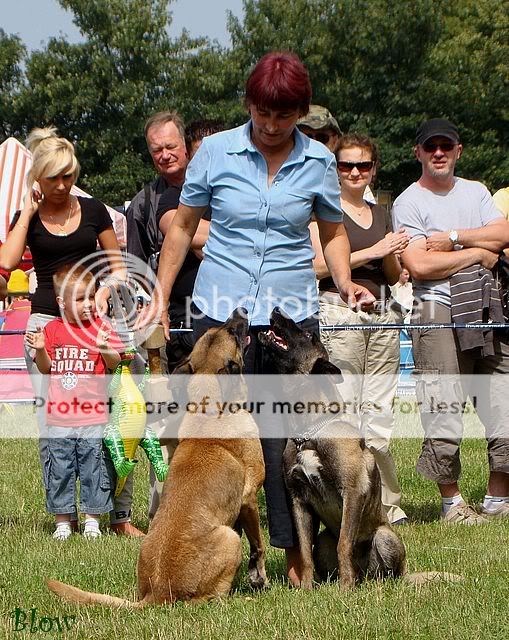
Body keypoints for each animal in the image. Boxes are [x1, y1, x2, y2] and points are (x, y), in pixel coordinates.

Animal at [48, 308, 268, 607]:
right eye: (233, 333)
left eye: (222, 329)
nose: (240, 311)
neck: (209, 409)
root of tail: (157, 593)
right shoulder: (249, 499)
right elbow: (258, 544)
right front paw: (260, 578)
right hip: (229, 538)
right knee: (209, 597)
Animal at [259, 307, 458, 590]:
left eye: (307, 335)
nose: (276, 309)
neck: (310, 432)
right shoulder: (300, 502)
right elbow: (304, 551)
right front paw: (306, 587)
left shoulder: (352, 492)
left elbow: (345, 543)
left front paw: (345, 589)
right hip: (324, 539)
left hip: (385, 537)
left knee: (386, 572)